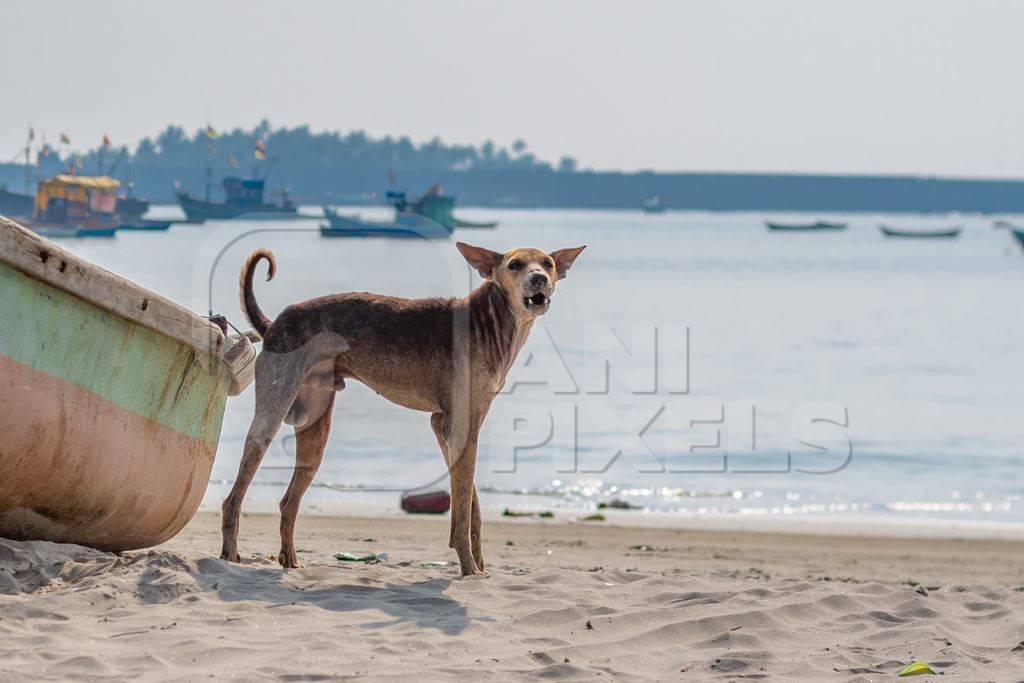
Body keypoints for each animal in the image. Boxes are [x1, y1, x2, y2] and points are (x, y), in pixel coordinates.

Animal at [220, 242, 585, 573]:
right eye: (515, 265)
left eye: (548, 263)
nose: (539, 279)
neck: (489, 322)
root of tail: (274, 324)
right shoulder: (458, 429)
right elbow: (462, 511)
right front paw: (468, 569)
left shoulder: (447, 426)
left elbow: (472, 507)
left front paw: (479, 566)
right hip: (270, 416)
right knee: (234, 498)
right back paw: (230, 554)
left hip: (315, 431)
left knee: (288, 503)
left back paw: (290, 561)